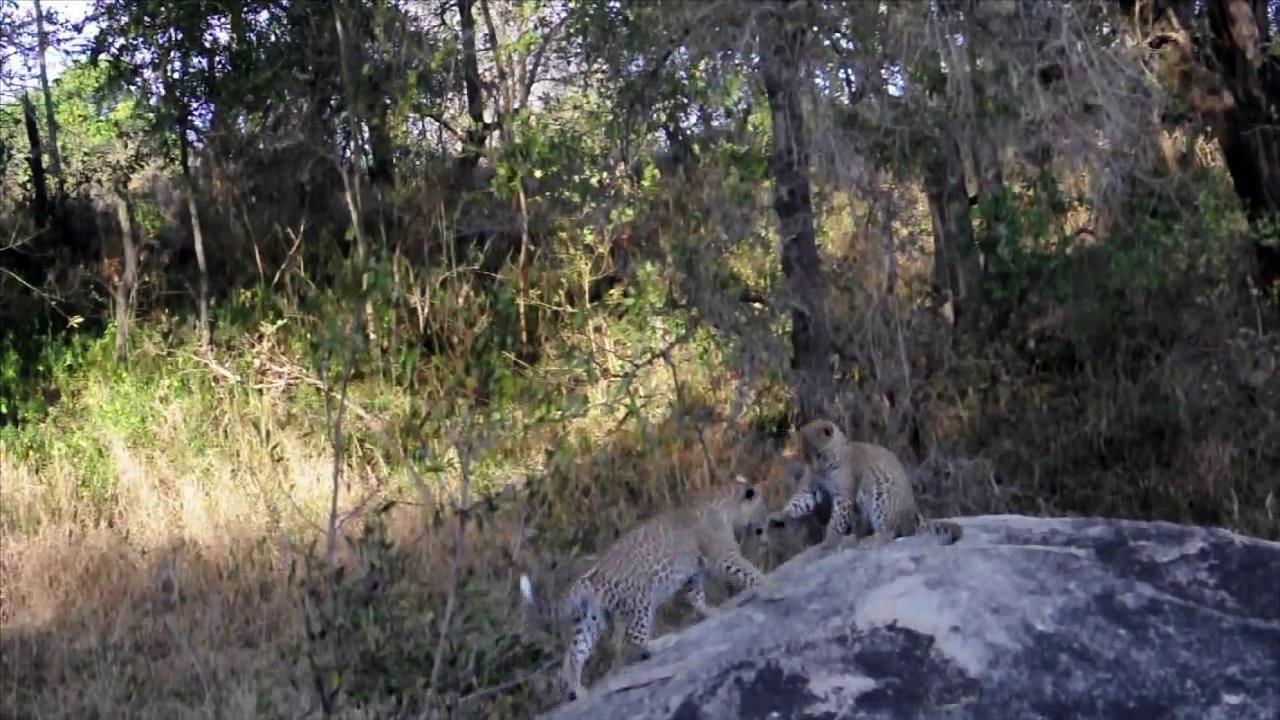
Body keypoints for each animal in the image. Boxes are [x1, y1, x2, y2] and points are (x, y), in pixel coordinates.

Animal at [518, 473, 769, 703]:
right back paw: (663, 643)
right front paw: (767, 584)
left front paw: (712, 612)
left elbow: (696, 596)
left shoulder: (692, 573)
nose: (766, 525)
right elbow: (748, 570)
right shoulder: (723, 555)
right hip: (641, 601)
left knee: (574, 654)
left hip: (591, 618)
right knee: (633, 638)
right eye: (763, 508)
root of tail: (590, 576)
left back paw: (579, 692)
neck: (724, 503)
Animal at [769, 418, 963, 550]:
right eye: (805, 456)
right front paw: (778, 516)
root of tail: (914, 510)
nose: (814, 468)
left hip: (881, 498)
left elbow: (836, 522)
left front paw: (830, 544)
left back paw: (870, 541)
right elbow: (797, 503)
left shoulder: (843, 496)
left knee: (893, 533)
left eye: (820, 454)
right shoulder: (811, 489)